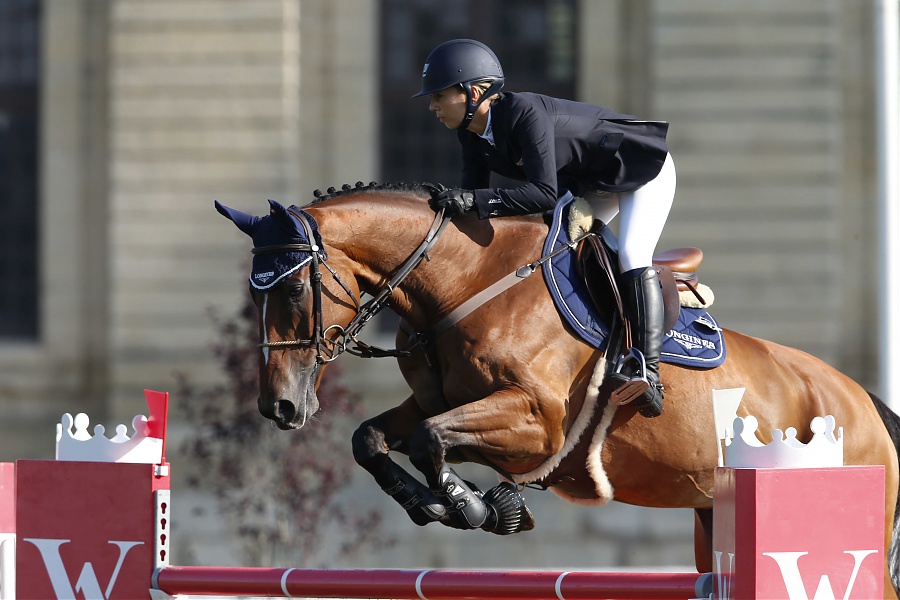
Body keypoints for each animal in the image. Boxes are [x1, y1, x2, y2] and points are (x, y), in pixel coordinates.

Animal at [216, 182, 900, 598]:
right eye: (251, 291)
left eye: (293, 288)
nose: (280, 406)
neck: (465, 282)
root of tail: (864, 402)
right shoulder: (437, 402)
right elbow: (374, 438)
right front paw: (429, 504)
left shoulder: (535, 424)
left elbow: (433, 441)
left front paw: (480, 507)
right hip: (712, 517)